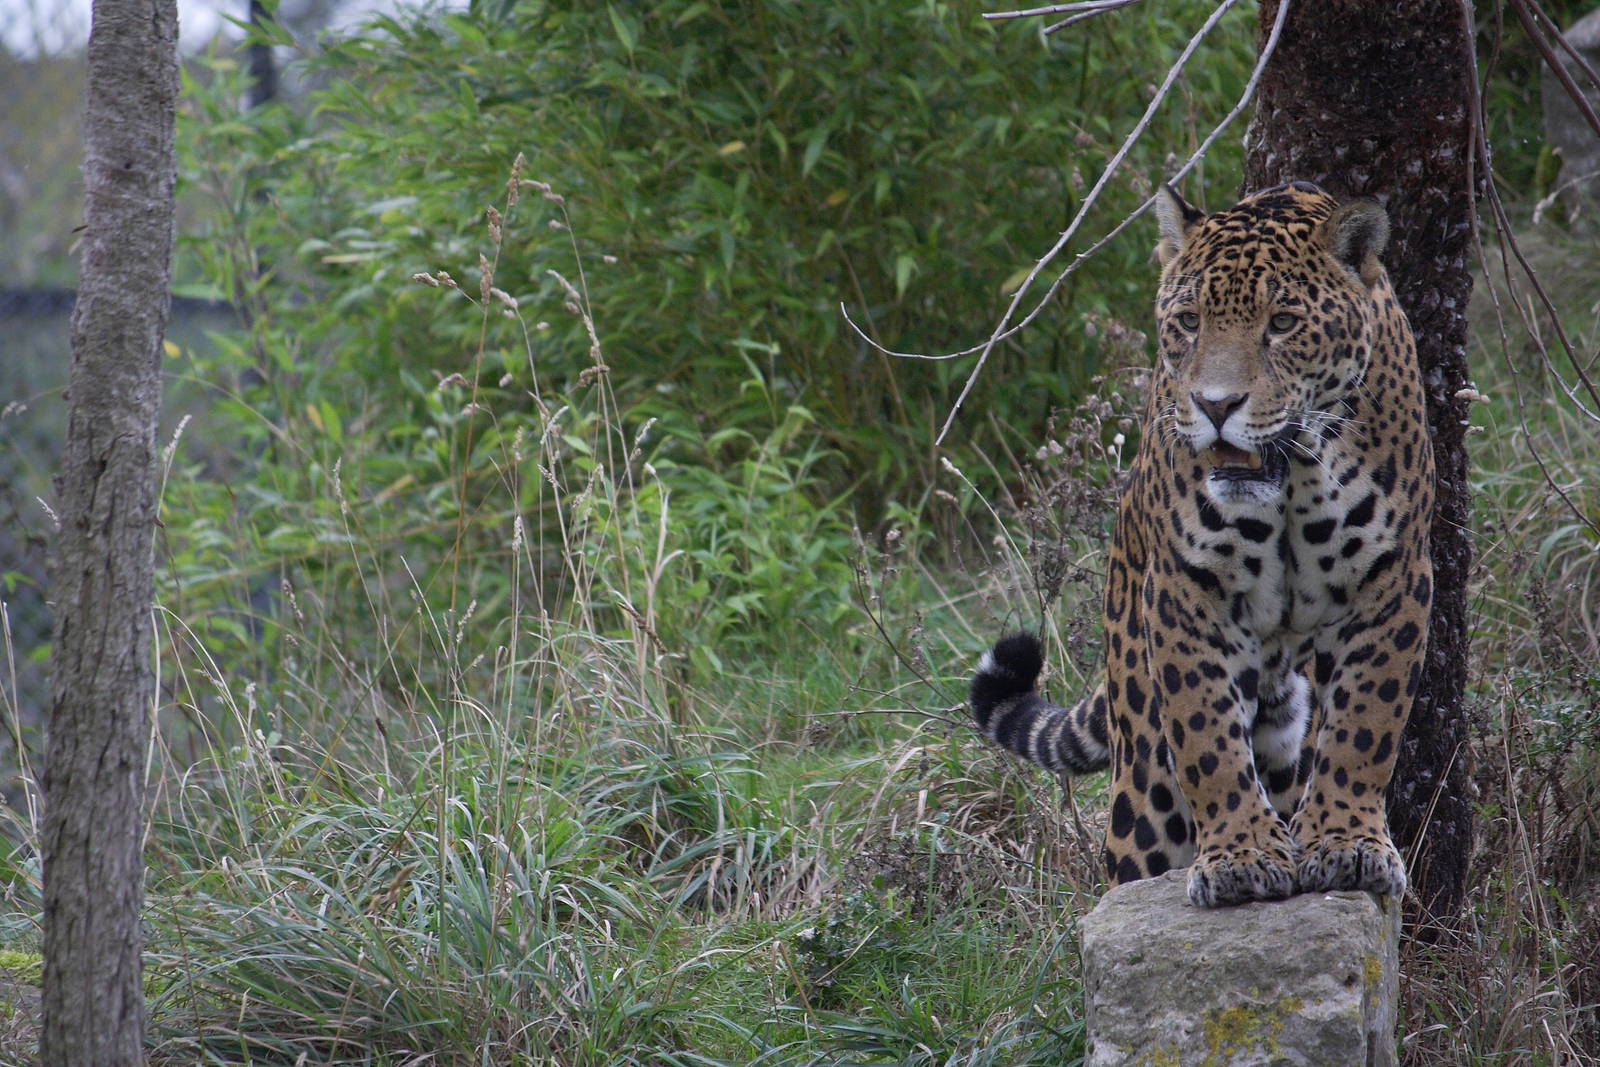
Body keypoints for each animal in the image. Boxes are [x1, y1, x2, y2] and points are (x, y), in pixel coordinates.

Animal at [969, 181, 1434, 907]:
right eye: (1189, 321)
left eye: (1283, 323)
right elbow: (1206, 735)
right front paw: (1240, 856)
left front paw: (1347, 843)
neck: (1294, 478)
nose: (1216, 405)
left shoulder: (1394, 576)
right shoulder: (1185, 589)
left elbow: (1367, 724)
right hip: (1143, 760)